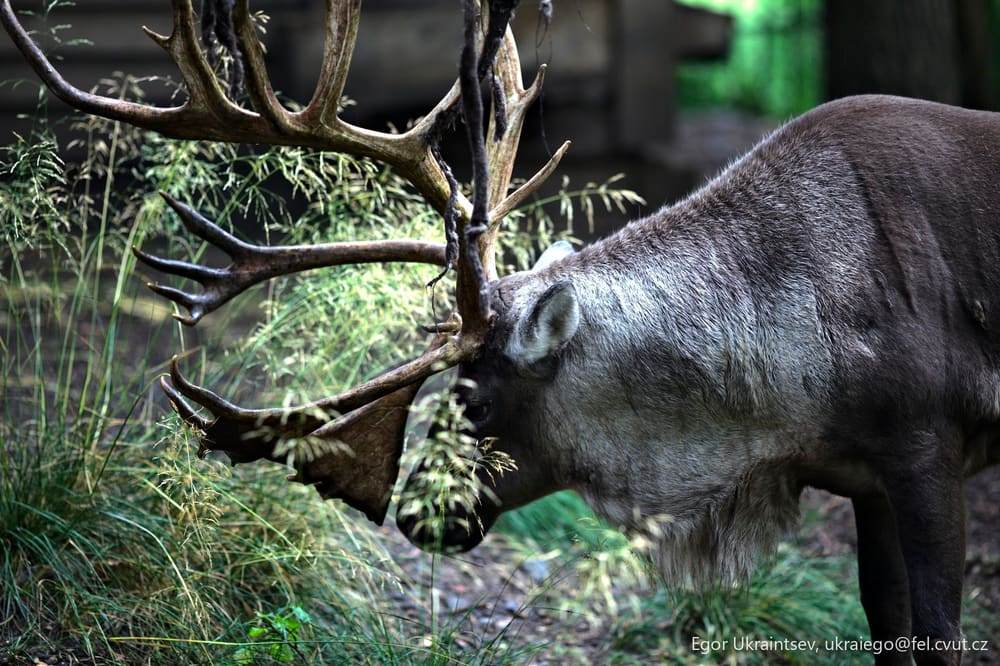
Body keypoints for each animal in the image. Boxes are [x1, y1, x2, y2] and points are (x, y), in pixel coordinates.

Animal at [4, 1, 997, 665]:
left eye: (474, 399)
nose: (414, 513)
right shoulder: (864, 478)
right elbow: (886, 627)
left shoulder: (926, 448)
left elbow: (942, 632)